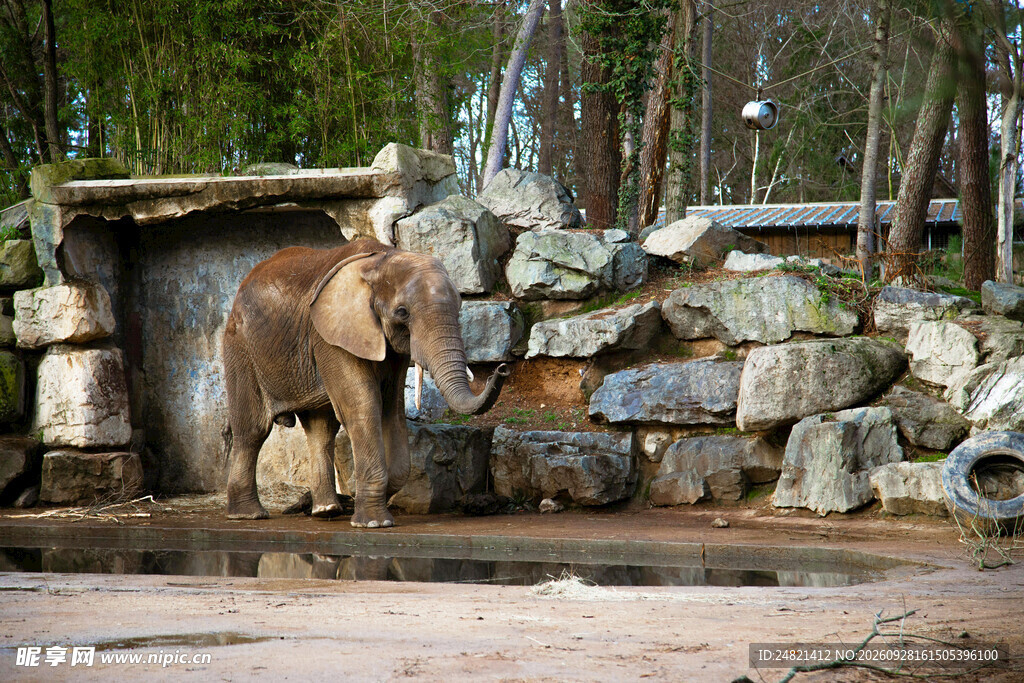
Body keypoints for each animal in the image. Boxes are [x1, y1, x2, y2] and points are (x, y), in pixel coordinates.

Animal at [223, 238, 509, 527]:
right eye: (402, 312)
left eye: (459, 308)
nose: (502, 369)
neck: (382, 259)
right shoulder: (330, 335)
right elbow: (363, 407)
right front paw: (373, 523)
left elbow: (392, 409)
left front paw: (372, 502)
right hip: (240, 345)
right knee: (253, 429)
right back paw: (248, 514)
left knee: (321, 428)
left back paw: (326, 511)